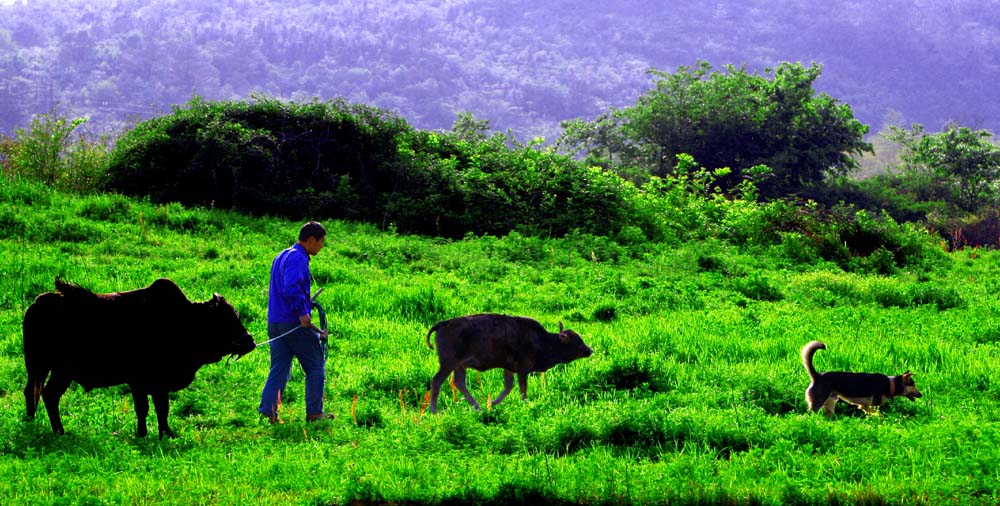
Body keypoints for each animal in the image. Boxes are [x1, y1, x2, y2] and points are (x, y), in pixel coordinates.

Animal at [26, 278, 256, 436]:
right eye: (225, 318)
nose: (250, 341)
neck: (183, 320)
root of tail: (37, 304)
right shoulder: (143, 382)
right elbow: (149, 408)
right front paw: (153, 433)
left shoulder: (153, 385)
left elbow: (157, 409)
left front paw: (157, 433)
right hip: (56, 370)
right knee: (47, 394)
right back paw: (58, 430)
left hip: (45, 370)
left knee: (35, 393)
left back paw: (33, 423)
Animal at [424, 312, 592, 416]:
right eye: (577, 342)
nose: (589, 350)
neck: (541, 339)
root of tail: (444, 323)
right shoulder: (523, 370)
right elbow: (522, 388)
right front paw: (523, 403)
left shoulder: (508, 369)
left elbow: (508, 386)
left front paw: (493, 403)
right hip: (448, 364)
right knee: (437, 381)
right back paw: (434, 411)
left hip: (459, 366)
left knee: (459, 383)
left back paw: (477, 407)